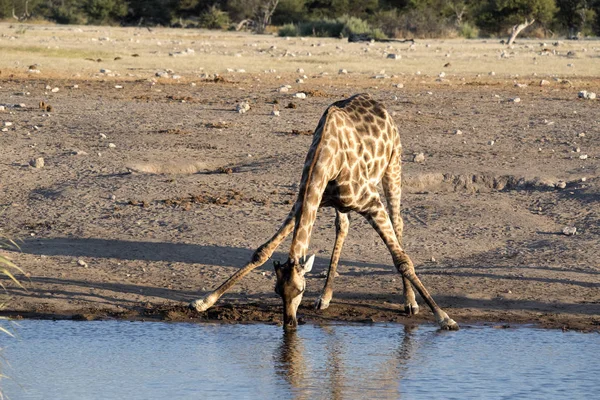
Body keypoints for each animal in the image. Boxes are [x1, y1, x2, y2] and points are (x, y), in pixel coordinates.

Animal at [192, 94, 460, 332]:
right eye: (277, 291)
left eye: (301, 290)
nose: (289, 323)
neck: (326, 160)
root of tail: (379, 104)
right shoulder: (306, 201)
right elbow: (262, 252)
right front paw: (204, 301)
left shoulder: (371, 202)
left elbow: (401, 260)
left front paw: (444, 318)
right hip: (342, 204)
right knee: (343, 227)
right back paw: (325, 297)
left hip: (393, 167)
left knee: (398, 222)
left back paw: (410, 302)